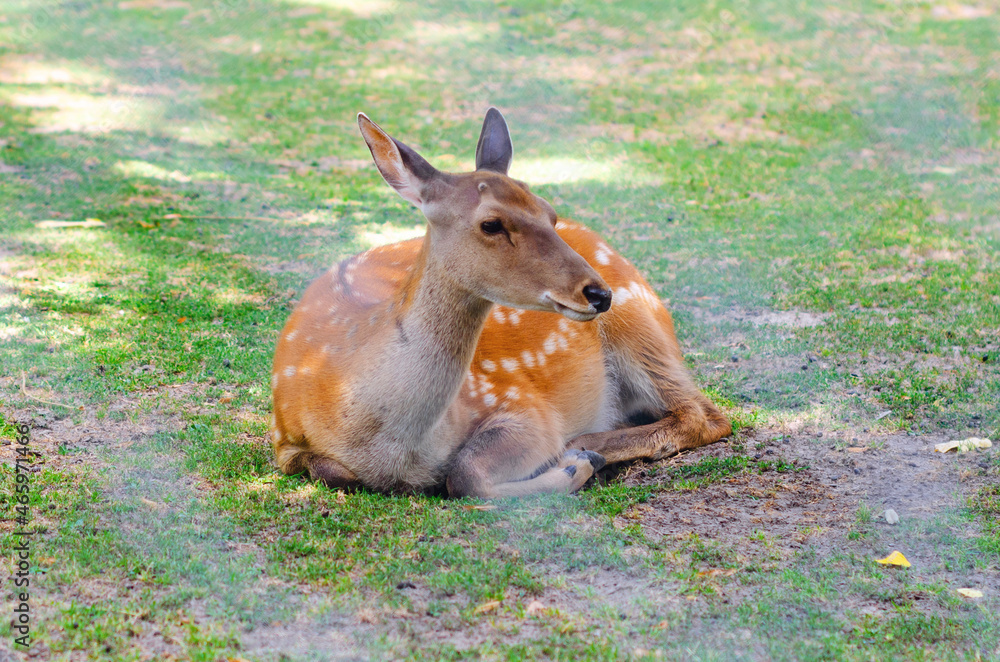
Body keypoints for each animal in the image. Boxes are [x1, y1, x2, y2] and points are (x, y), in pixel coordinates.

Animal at [270, 108, 732, 498]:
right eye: (491, 224)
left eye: (549, 212)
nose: (599, 293)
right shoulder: (283, 441)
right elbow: (332, 471)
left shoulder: (523, 405)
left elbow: (465, 474)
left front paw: (575, 464)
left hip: (640, 326)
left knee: (705, 414)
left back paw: (586, 445)